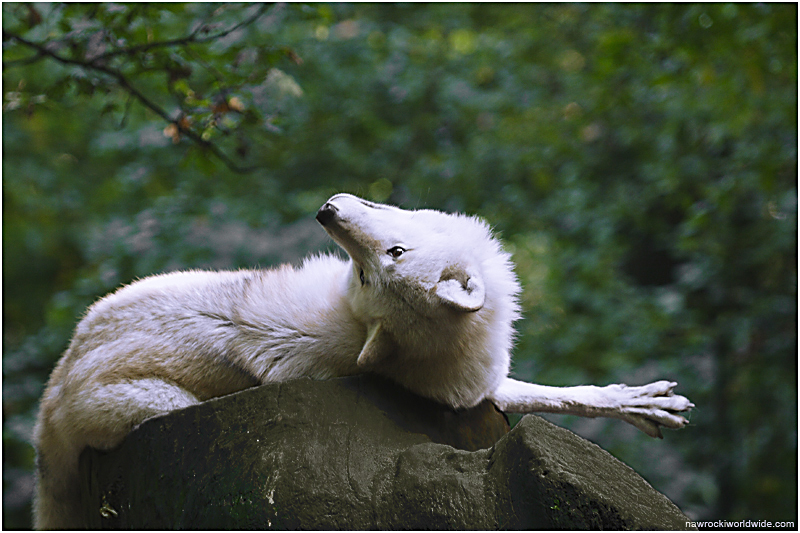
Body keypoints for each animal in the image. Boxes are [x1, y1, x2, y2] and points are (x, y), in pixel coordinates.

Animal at [34, 192, 692, 528]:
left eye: (391, 255)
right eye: (366, 272)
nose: (327, 212)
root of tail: (48, 403)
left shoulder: (482, 386)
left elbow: (563, 395)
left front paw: (644, 403)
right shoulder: (480, 389)